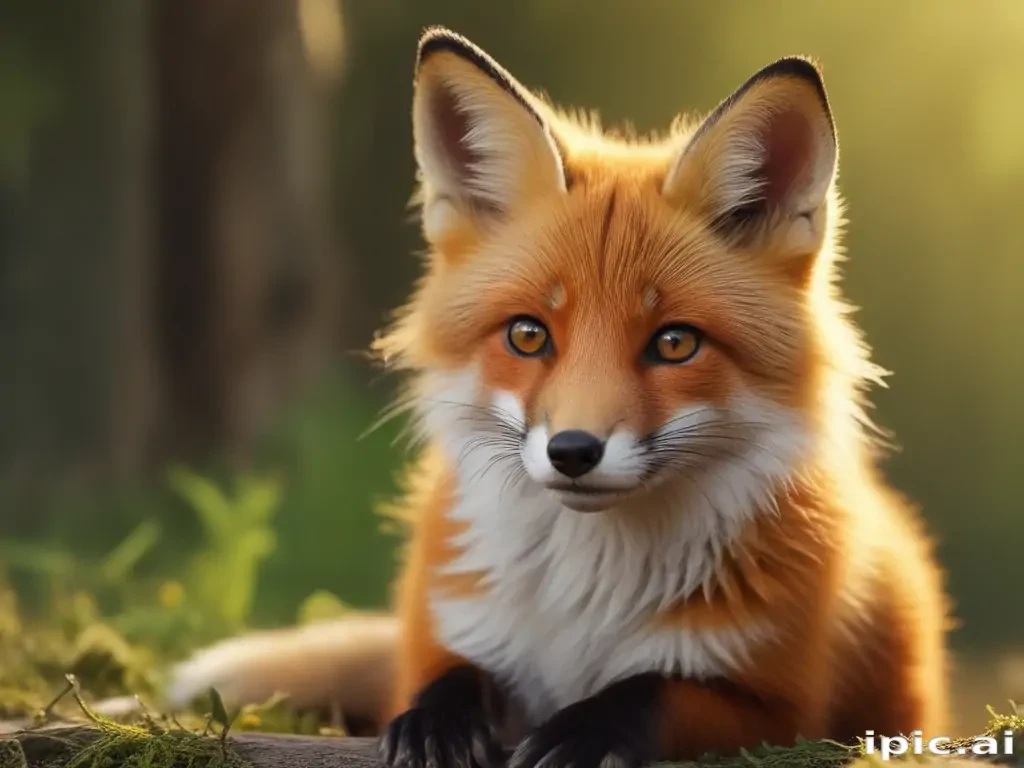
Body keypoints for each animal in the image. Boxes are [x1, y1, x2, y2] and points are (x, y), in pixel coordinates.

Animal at [166, 26, 952, 768]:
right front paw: (434, 725)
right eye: (527, 335)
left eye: (675, 343)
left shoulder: (782, 706)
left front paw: (580, 731)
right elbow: (444, 680)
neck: (587, 593)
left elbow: (652, 691)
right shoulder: (446, 628)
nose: (574, 451)